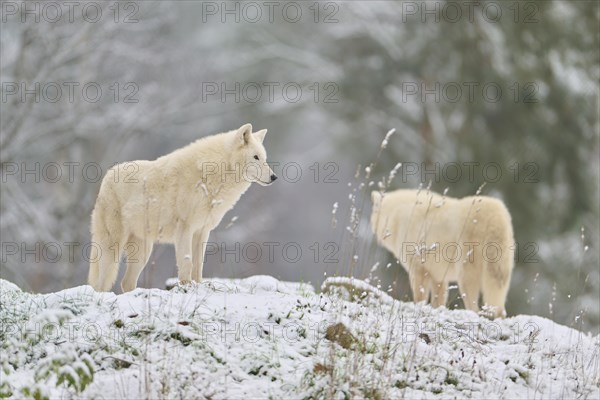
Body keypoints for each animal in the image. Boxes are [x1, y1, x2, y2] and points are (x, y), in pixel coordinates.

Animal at [89, 123, 276, 292]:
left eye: (264, 158)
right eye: (255, 157)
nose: (274, 177)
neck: (210, 176)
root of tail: (107, 176)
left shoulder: (202, 231)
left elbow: (198, 266)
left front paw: (198, 287)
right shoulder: (185, 228)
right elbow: (187, 263)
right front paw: (186, 287)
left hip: (143, 251)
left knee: (126, 283)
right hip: (113, 249)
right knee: (100, 284)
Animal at [370, 188, 516, 318]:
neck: (396, 216)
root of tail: (495, 216)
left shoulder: (418, 268)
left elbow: (420, 296)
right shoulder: (438, 276)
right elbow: (438, 301)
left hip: (466, 275)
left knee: (474, 306)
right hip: (501, 272)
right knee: (500, 309)